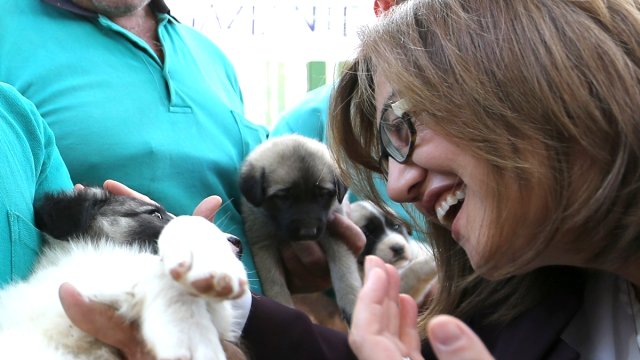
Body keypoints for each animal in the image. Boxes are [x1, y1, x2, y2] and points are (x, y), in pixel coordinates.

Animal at [239, 134, 362, 324]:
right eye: (284, 197)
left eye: (322, 194)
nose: (308, 232)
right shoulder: (263, 246)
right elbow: (275, 283)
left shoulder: (335, 232)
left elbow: (344, 270)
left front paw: (351, 301)